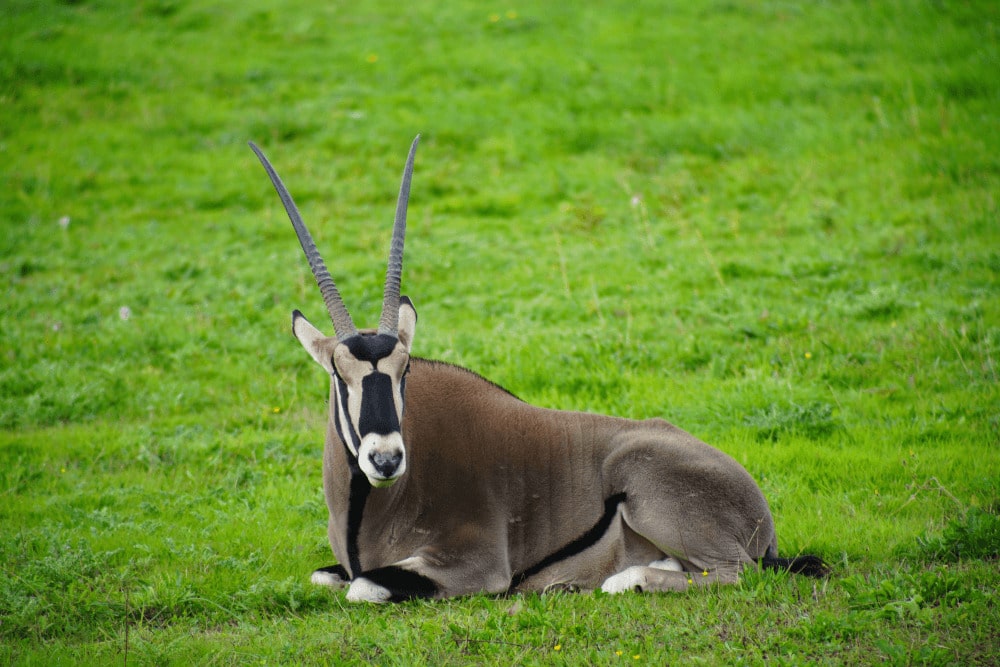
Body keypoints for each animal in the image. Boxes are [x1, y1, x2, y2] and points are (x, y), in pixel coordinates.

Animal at [250, 137, 828, 604]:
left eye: (404, 370)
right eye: (338, 372)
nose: (387, 460)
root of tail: (759, 513)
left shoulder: (477, 566)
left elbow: (364, 586)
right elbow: (327, 577)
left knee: (735, 574)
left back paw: (626, 578)